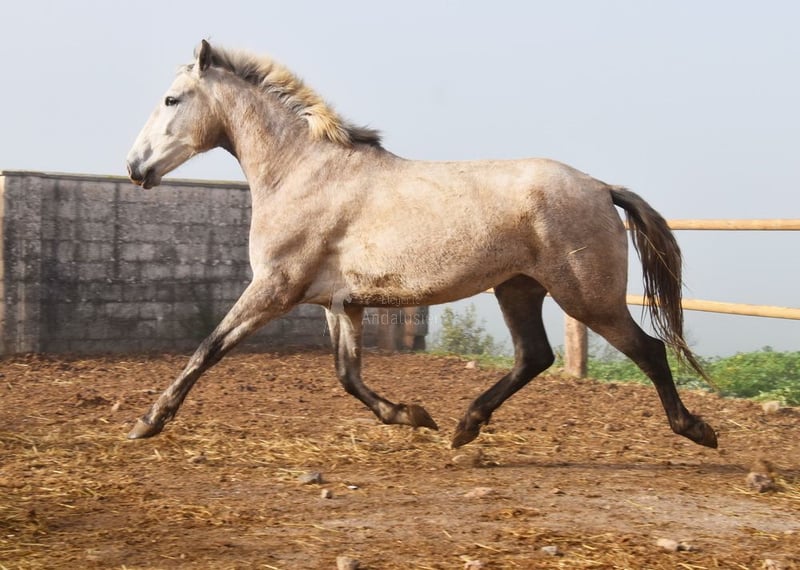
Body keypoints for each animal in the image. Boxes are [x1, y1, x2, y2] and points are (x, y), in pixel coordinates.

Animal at [125, 40, 717, 450]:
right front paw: (411, 415)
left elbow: (208, 348)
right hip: (518, 289)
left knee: (648, 349)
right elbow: (347, 375)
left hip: (587, 297)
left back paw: (695, 429)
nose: (134, 167)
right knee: (535, 356)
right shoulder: (339, 303)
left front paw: (147, 422)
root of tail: (599, 187)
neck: (303, 171)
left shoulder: (274, 287)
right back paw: (463, 427)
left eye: (171, 99)